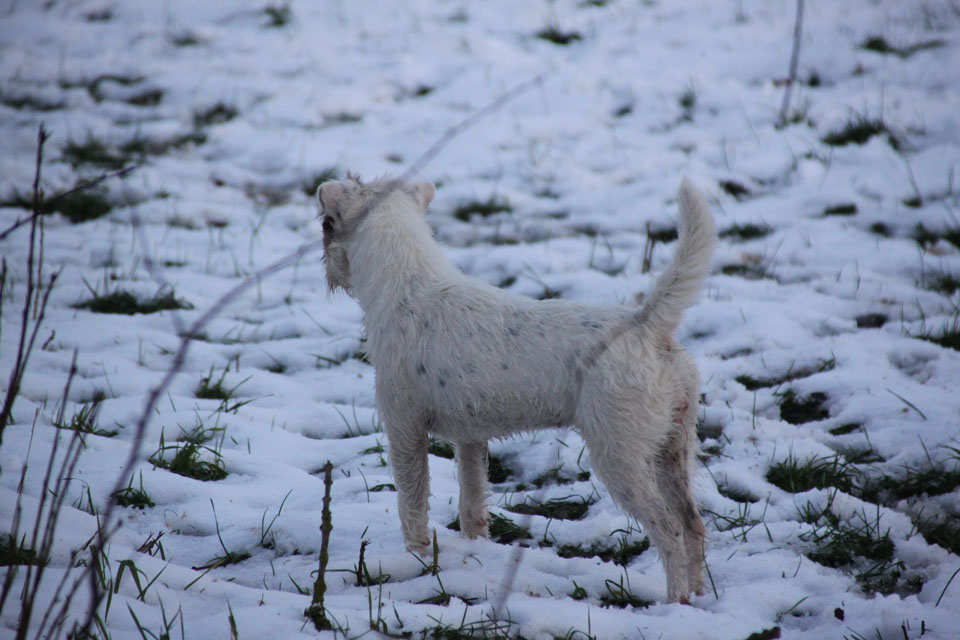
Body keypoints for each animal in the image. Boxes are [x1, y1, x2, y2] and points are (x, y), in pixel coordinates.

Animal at [317, 174, 715, 603]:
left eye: (325, 223)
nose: (328, 272)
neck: (407, 284)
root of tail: (647, 326)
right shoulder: (470, 439)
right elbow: (472, 502)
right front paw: (475, 552)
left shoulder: (404, 429)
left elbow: (412, 503)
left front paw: (417, 560)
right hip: (673, 446)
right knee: (693, 523)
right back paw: (696, 598)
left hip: (621, 455)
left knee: (668, 529)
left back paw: (674, 601)